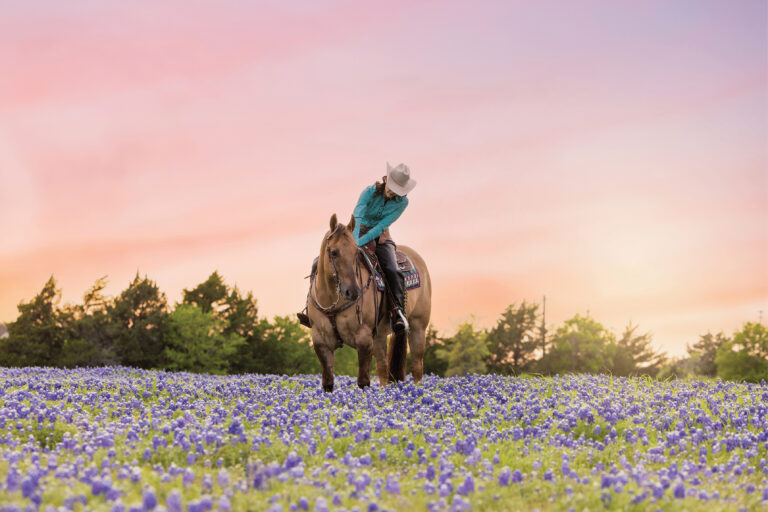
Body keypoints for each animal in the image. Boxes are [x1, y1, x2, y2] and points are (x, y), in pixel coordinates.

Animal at [306, 213, 432, 391]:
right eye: (334, 252)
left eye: (356, 252)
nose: (353, 292)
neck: (332, 298)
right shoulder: (321, 341)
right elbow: (328, 383)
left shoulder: (363, 338)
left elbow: (363, 382)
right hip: (379, 336)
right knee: (383, 369)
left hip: (418, 327)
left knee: (416, 367)